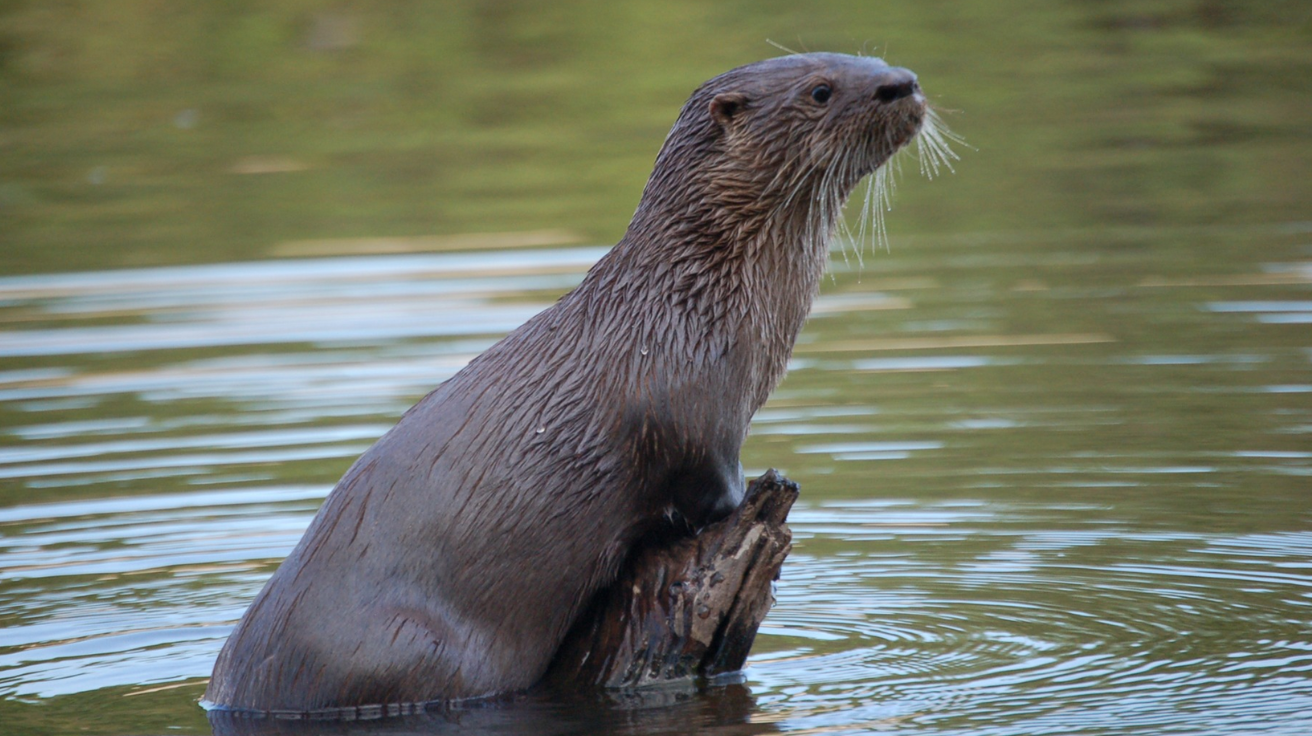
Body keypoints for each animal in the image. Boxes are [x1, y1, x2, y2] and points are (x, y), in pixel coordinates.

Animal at [204, 53, 928, 713]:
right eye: (821, 90)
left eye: (866, 56)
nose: (905, 82)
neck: (693, 302)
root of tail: (233, 692)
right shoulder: (687, 408)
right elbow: (707, 484)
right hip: (408, 651)